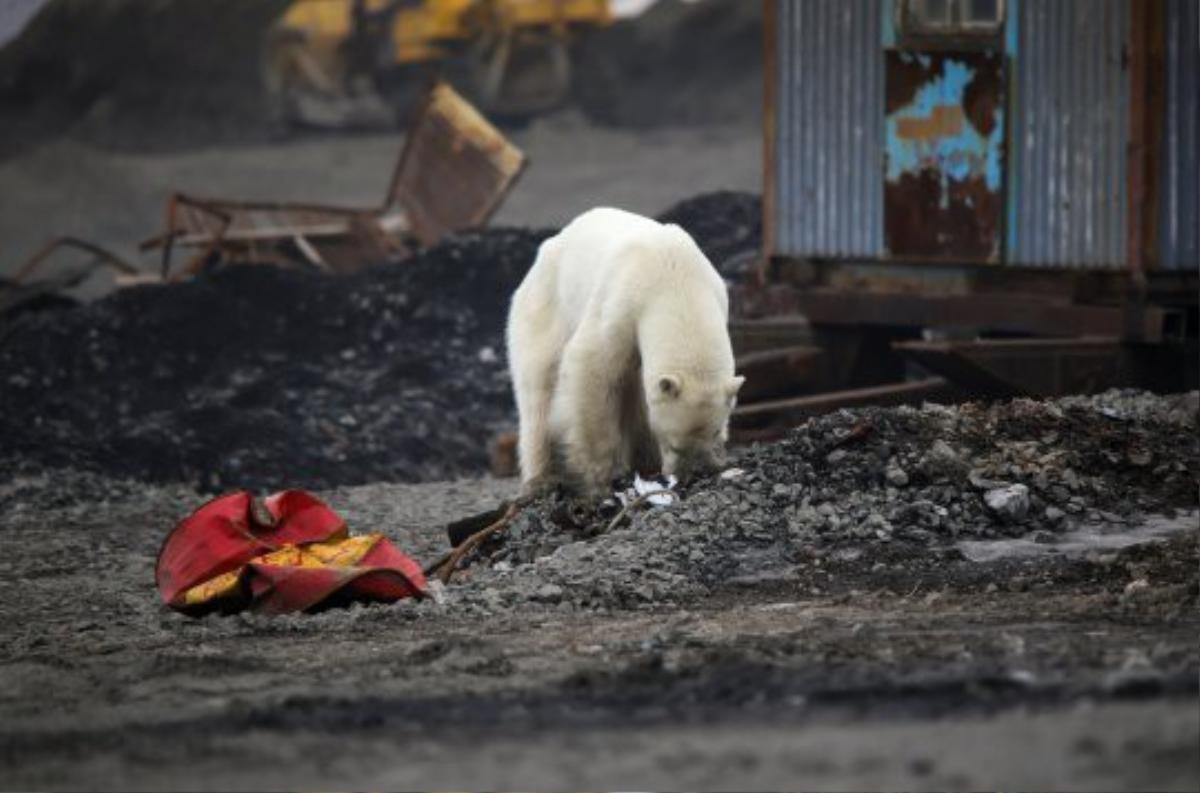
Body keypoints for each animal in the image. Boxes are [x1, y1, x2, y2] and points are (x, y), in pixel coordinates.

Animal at [504, 207, 739, 499]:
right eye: (674, 443)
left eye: (715, 432)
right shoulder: (622, 300)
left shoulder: (716, 294)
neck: (675, 278)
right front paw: (599, 477)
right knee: (539, 387)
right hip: (545, 306)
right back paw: (541, 479)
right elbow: (590, 365)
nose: (693, 473)